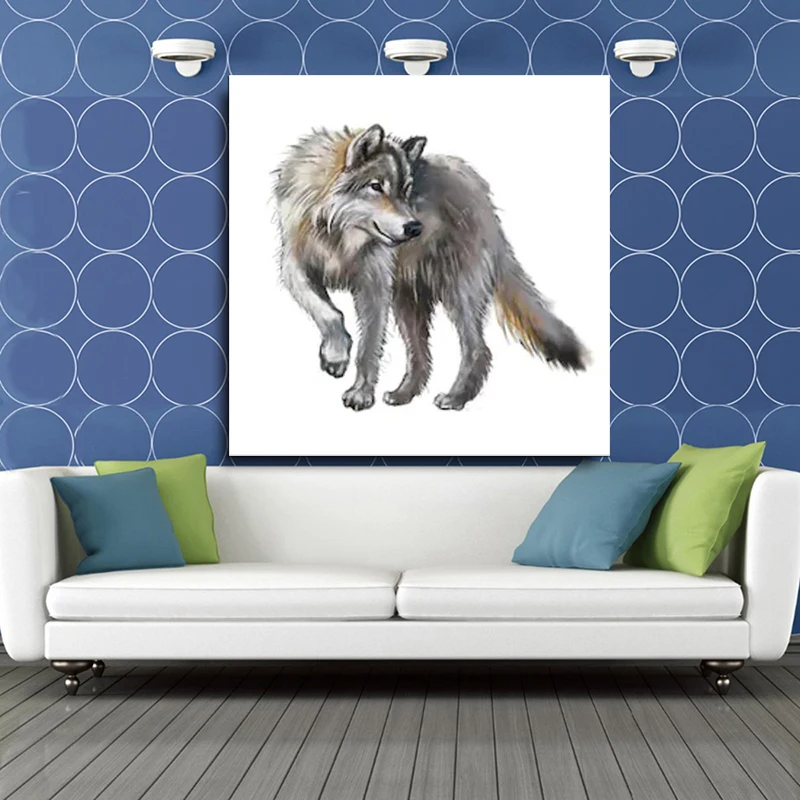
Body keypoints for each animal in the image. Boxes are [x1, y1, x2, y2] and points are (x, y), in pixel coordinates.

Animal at [274, 124, 586, 412]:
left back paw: (456, 398)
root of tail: (482, 194)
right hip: (407, 304)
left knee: (477, 349)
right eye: (376, 187)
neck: (337, 235)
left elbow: (368, 347)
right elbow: (328, 313)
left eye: (406, 191)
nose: (414, 228)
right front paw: (336, 356)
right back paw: (403, 394)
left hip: (456, 294)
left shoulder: (373, 287)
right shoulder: (294, 268)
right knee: (422, 356)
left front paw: (360, 393)